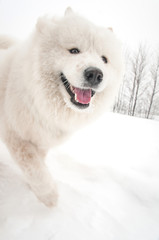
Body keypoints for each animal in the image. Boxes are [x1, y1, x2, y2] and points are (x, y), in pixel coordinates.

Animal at [0, 7, 123, 206]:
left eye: (104, 59)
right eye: (74, 50)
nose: (95, 74)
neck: (37, 101)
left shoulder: (40, 141)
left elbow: (38, 164)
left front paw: (34, 188)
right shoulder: (16, 136)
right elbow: (34, 167)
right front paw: (49, 196)